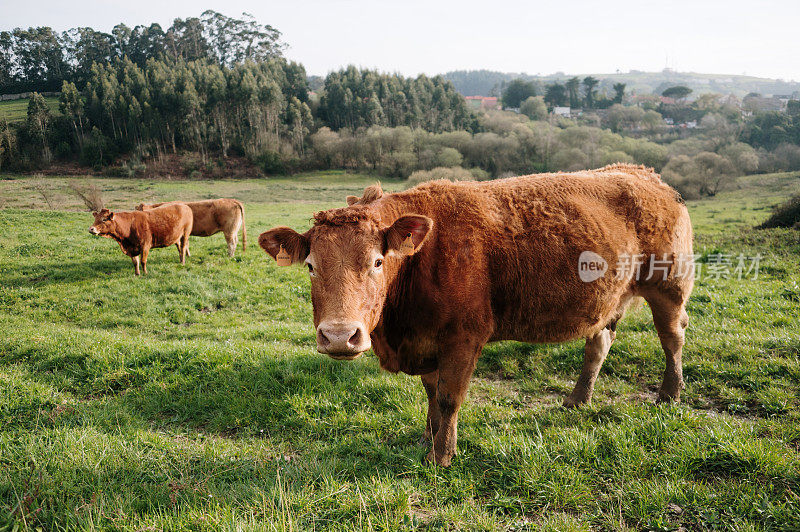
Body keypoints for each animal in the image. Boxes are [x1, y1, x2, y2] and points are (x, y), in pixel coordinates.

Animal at [258, 163, 692, 466]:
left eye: (377, 262)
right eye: (311, 265)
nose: (338, 336)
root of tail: (641, 173)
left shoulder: (463, 339)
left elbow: (449, 398)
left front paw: (441, 455)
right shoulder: (428, 340)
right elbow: (431, 394)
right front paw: (428, 436)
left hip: (669, 287)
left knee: (672, 338)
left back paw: (669, 394)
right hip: (610, 301)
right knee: (599, 343)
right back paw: (577, 399)